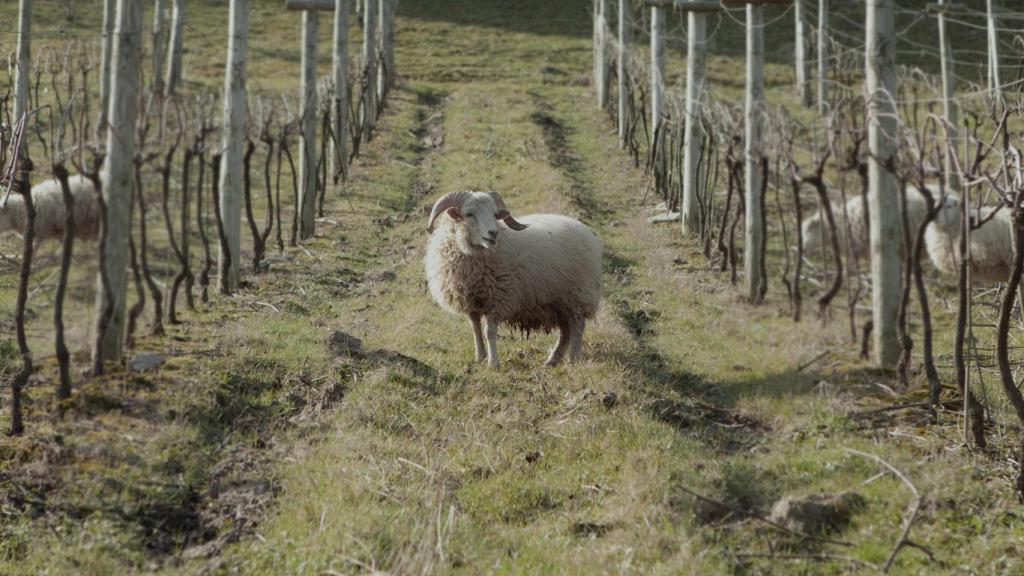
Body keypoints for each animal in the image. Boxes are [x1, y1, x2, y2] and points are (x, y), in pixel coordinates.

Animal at [423, 190, 602, 368]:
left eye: (495, 214)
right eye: (469, 214)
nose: (493, 233)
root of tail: (587, 231)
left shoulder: (498, 299)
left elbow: (489, 332)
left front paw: (493, 363)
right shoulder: (471, 302)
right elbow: (476, 329)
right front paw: (479, 357)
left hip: (577, 294)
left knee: (577, 325)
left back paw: (574, 359)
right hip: (558, 301)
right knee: (565, 331)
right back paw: (552, 360)